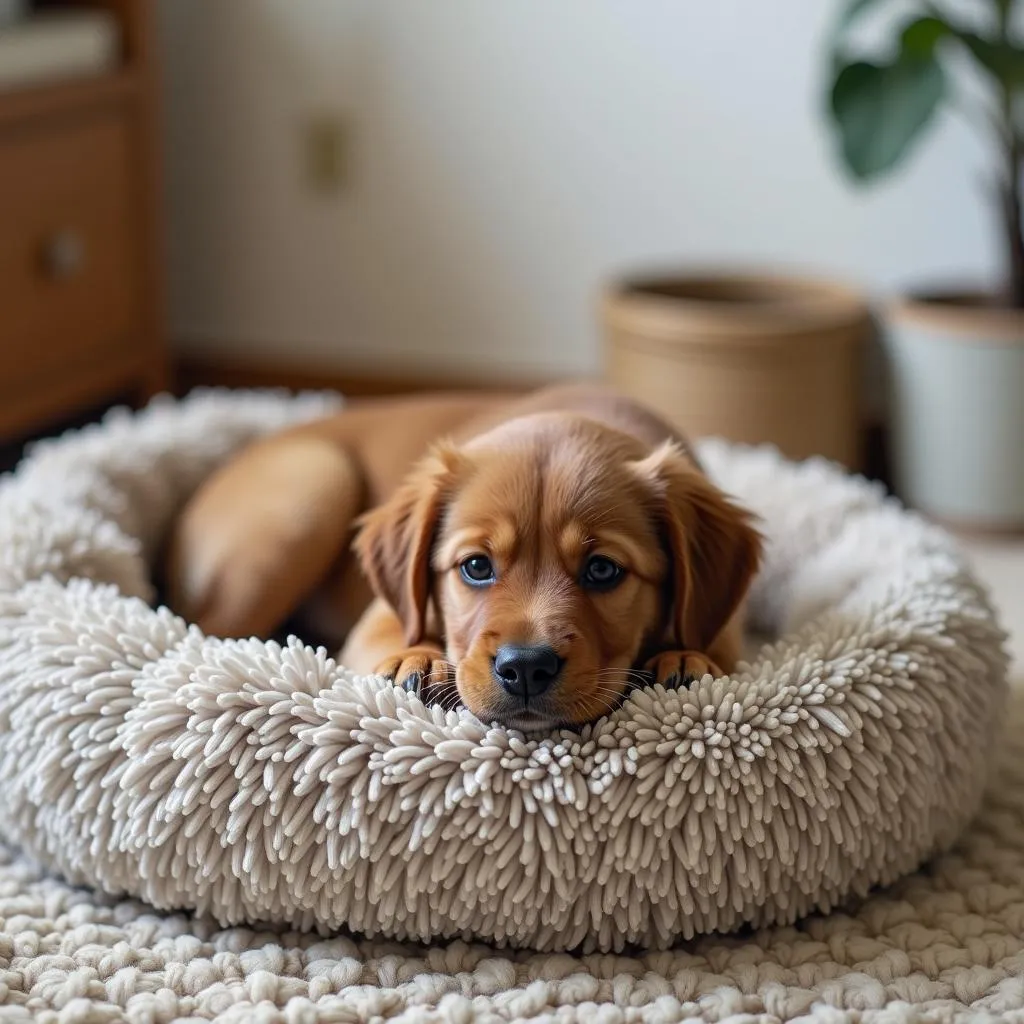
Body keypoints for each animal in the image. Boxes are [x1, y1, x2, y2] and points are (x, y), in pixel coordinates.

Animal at [167, 382, 761, 729]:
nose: (525, 668)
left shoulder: (728, 628)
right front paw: (417, 660)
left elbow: (709, 647)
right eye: (476, 566)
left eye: (602, 569)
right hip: (312, 490)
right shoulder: (381, 617)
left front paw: (683, 659)